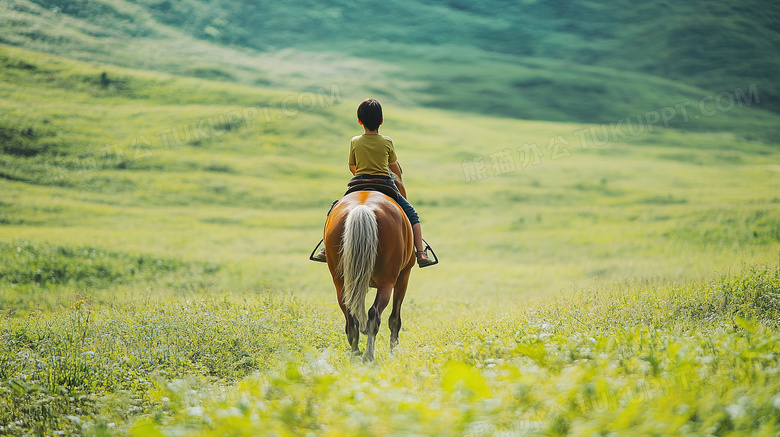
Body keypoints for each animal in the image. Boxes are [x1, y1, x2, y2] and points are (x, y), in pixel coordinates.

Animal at [324, 177, 418, 362]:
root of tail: (363, 207)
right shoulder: (404, 277)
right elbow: (395, 319)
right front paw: (393, 351)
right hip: (387, 281)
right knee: (375, 314)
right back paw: (369, 355)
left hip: (340, 281)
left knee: (350, 316)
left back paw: (355, 353)